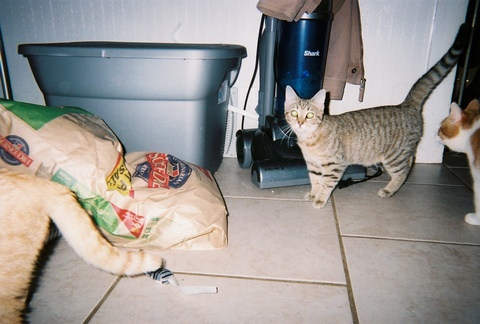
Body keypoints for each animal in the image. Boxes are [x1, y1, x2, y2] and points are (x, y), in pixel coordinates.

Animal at [284, 24, 466, 208]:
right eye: (294, 113)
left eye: (309, 115)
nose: (300, 122)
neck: (310, 138)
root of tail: (406, 105)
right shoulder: (313, 165)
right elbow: (315, 181)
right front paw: (313, 194)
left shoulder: (334, 165)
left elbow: (326, 184)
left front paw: (320, 199)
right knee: (410, 162)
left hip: (394, 157)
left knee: (403, 171)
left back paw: (389, 190)